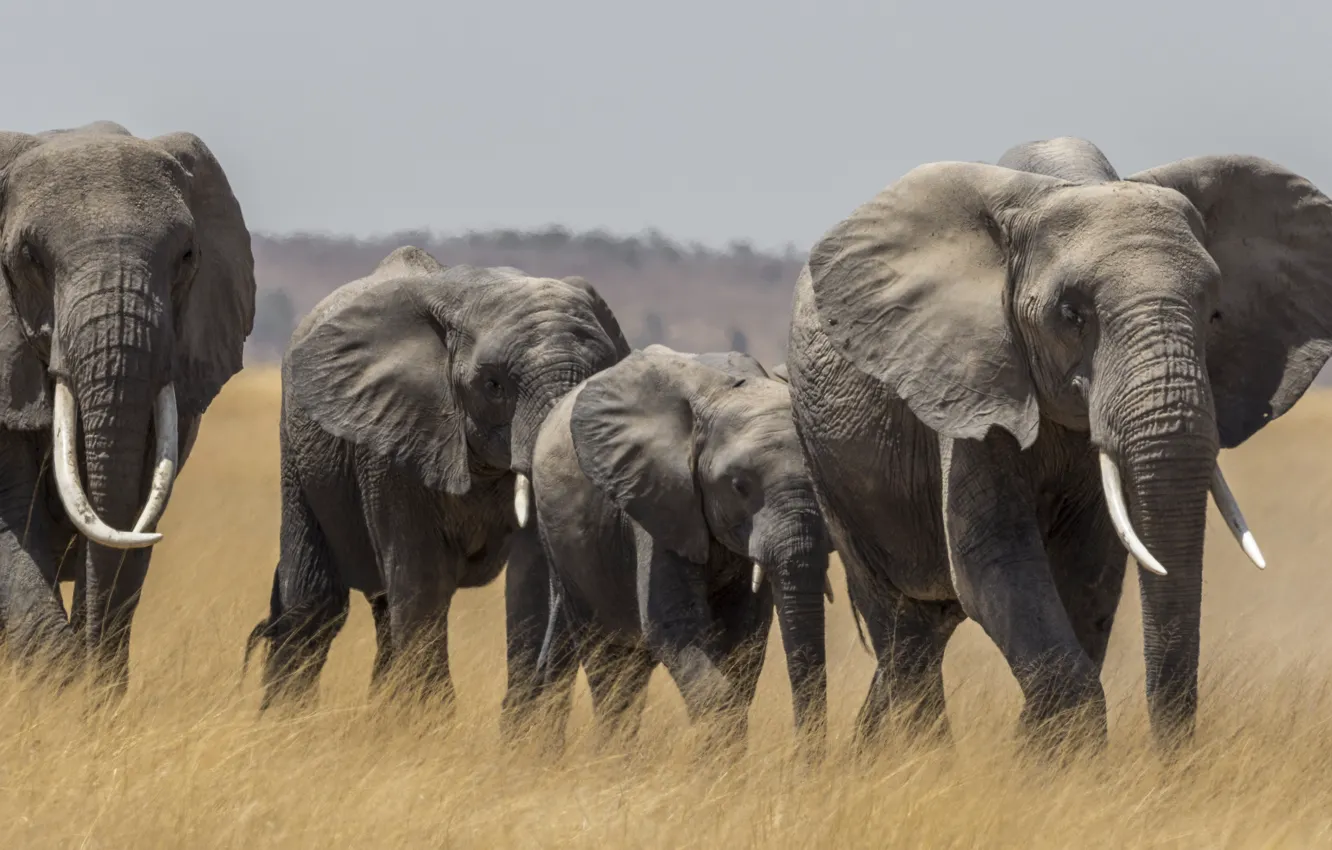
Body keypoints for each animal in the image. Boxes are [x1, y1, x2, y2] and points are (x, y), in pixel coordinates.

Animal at [243, 246, 630, 712]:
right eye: (494, 386)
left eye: (599, 377)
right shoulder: (391, 441)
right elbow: (423, 583)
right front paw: (429, 722)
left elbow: (532, 577)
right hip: (298, 446)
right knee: (315, 602)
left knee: (381, 611)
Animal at [516, 346, 831, 753]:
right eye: (739, 486)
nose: (803, 762)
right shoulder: (658, 495)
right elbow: (672, 624)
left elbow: (746, 634)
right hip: (563, 547)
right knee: (608, 664)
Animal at [785, 137, 1332, 750]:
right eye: (1071, 315)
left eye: (1215, 314)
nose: (1172, 763)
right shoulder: (969, 375)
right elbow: (994, 555)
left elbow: (1094, 567)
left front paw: (1043, 751)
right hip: (829, 462)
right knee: (903, 629)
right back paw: (924, 756)